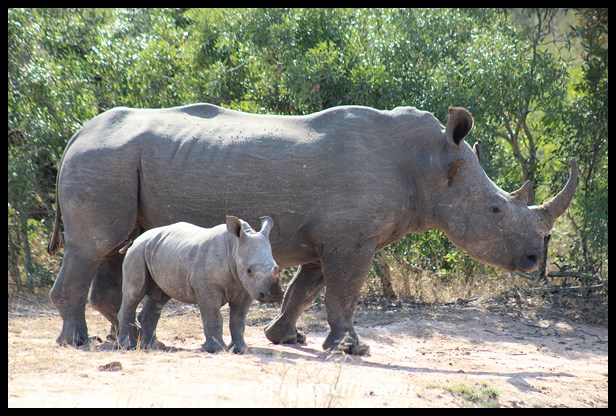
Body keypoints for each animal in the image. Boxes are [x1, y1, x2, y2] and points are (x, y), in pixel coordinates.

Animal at [117, 216, 282, 354]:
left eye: (277, 266)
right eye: (249, 270)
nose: (272, 295)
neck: (235, 247)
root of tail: (137, 239)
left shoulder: (247, 288)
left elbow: (238, 319)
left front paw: (240, 349)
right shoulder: (208, 287)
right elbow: (213, 316)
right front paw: (215, 350)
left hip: (160, 251)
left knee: (159, 297)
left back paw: (153, 347)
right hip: (137, 252)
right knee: (133, 294)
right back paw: (125, 346)